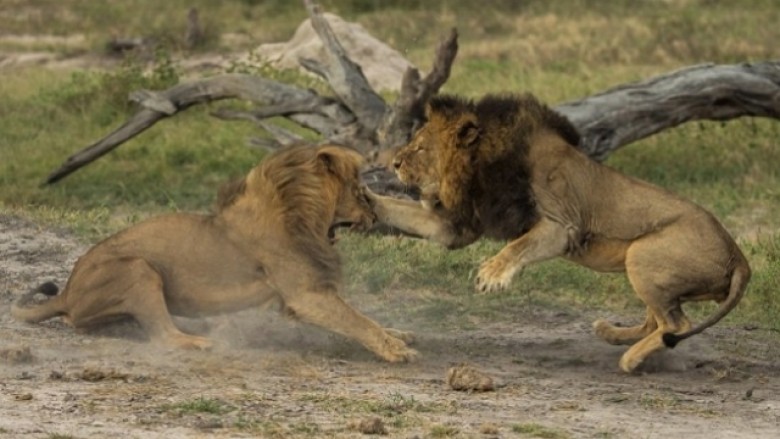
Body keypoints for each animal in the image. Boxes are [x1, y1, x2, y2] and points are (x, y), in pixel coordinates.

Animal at [12, 144, 418, 364]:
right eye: (359, 190)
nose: (374, 214)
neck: (300, 213)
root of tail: (67, 292)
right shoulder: (305, 295)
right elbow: (356, 320)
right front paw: (396, 349)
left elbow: (361, 318)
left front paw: (398, 333)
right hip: (138, 268)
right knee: (162, 335)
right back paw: (198, 340)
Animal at [368, 94, 752, 372]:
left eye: (420, 147)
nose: (395, 164)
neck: (481, 167)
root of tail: (739, 257)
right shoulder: (456, 225)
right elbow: (395, 208)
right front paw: (364, 196)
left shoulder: (562, 224)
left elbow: (519, 246)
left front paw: (492, 275)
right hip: (649, 266)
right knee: (658, 322)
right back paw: (613, 333)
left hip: (642, 255)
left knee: (676, 324)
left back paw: (629, 360)